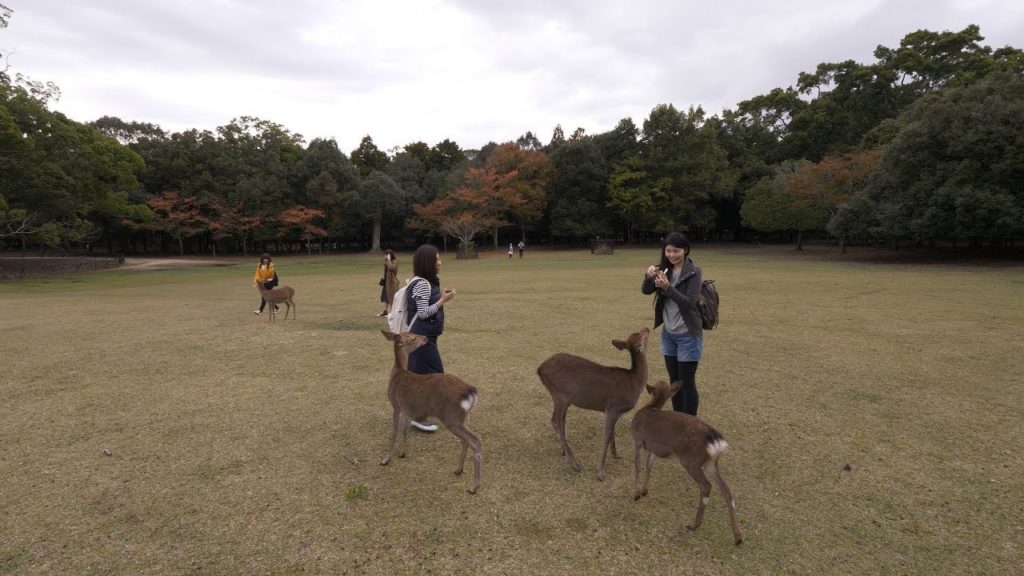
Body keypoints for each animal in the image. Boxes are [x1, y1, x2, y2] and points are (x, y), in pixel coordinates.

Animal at [379, 330, 482, 494]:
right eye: (412, 336)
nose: (425, 338)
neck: (397, 373)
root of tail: (471, 392)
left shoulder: (395, 404)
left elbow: (394, 432)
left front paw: (385, 459)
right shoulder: (407, 409)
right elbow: (404, 430)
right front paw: (402, 453)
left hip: (451, 417)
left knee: (475, 440)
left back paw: (473, 487)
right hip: (462, 418)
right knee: (465, 440)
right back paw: (458, 470)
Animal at [536, 327, 649, 480]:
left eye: (638, 333)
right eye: (642, 335)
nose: (647, 328)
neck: (635, 383)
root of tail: (540, 369)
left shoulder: (613, 412)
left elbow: (612, 433)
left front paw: (616, 455)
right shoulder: (613, 407)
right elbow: (606, 435)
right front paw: (600, 472)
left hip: (561, 398)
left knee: (556, 421)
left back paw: (563, 451)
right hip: (560, 396)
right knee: (558, 423)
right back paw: (575, 464)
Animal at [631, 380, 743, 545]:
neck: (649, 407)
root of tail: (715, 440)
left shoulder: (638, 439)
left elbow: (637, 465)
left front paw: (636, 493)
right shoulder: (654, 447)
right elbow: (649, 465)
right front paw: (644, 491)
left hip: (691, 461)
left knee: (706, 486)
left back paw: (694, 525)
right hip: (711, 463)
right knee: (726, 490)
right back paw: (738, 537)